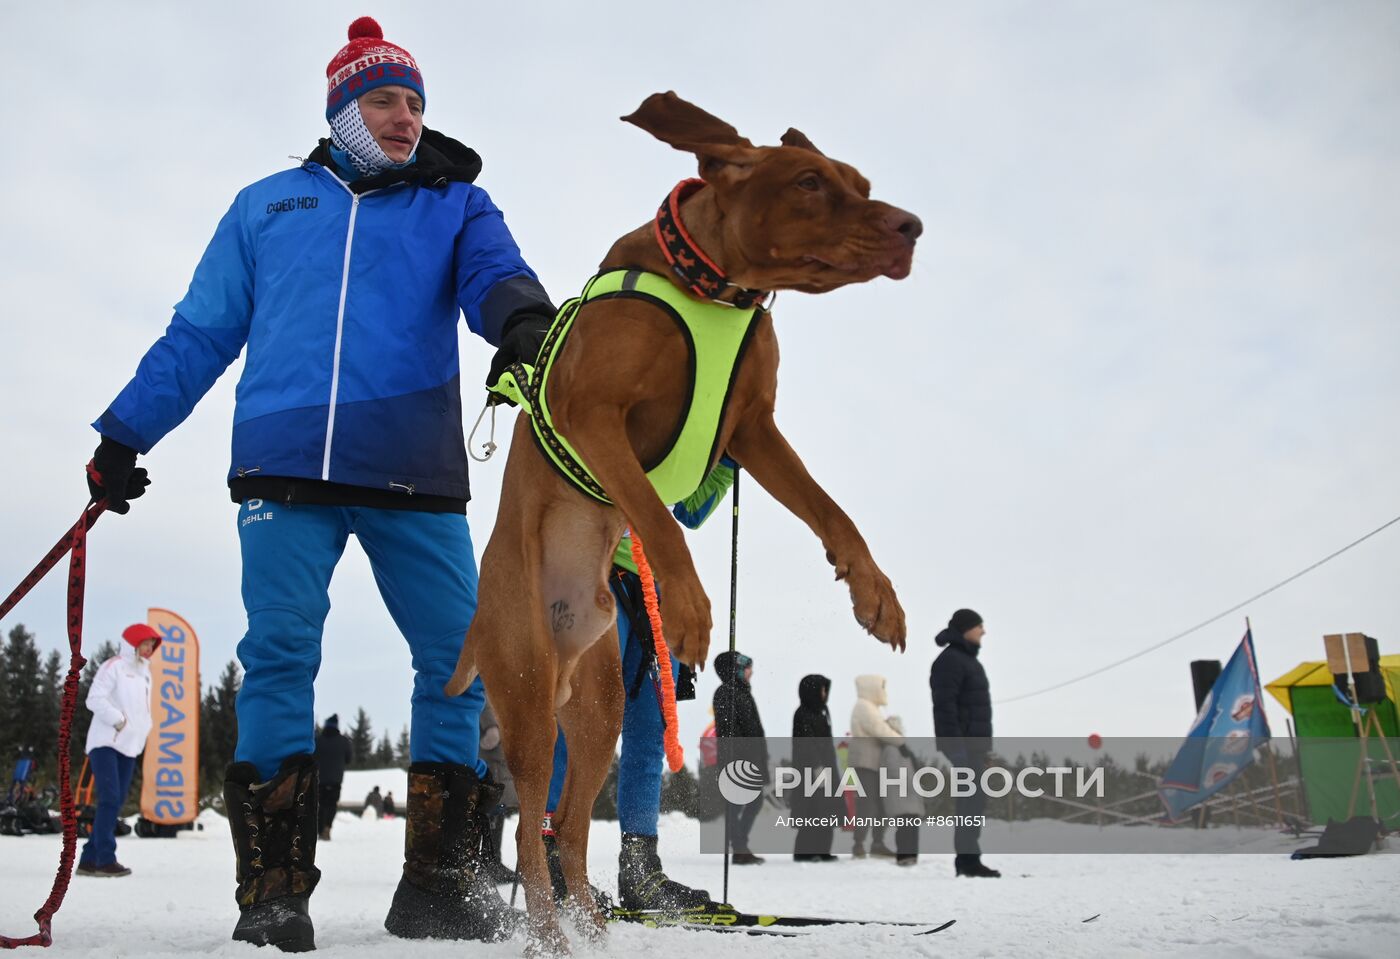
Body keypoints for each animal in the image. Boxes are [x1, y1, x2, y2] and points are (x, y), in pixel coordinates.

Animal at [442, 91, 912, 952]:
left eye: (860, 181)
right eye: (809, 182)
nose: (912, 227)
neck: (716, 289)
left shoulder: (753, 429)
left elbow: (833, 510)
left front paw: (875, 591)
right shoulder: (593, 416)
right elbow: (657, 518)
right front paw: (691, 607)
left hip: (599, 704)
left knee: (569, 823)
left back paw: (593, 926)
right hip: (526, 698)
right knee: (528, 828)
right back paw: (551, 934)